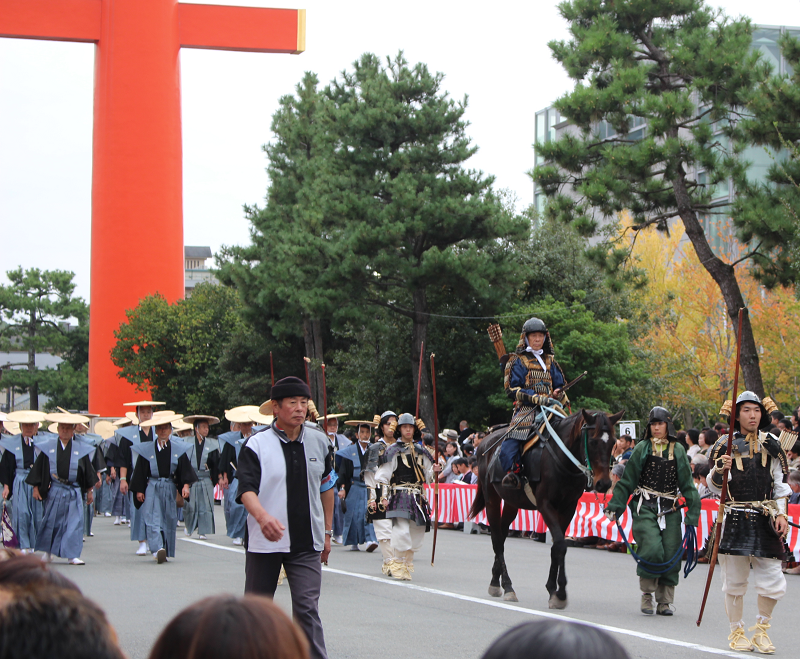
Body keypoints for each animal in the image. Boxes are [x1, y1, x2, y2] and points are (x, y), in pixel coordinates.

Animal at [468, 410, 624, 612]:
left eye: (613, 442)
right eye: (593, 441)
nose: (604, 484)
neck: (563, 460)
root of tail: (484, 443)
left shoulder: (568, 508)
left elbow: (556, 546)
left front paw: (552, 590)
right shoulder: (545, 505)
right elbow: (560, 545)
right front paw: (561, 593)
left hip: (512, 502)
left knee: (501, 536)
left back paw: (496, 581)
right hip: (491, 499)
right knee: (496, 540)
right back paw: (508, 586)